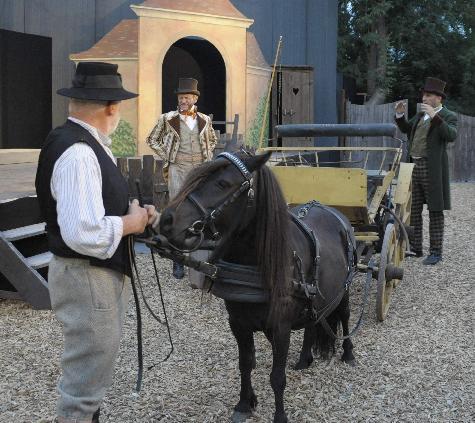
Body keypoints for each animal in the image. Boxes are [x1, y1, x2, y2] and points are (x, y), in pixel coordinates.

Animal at [160, 152, 356, 423]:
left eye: (223, 183)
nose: (166, 220)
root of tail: (329, 209)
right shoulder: (238, 323)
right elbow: (245, 363)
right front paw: (244, 403)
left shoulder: (281, 326)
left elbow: (277, 376)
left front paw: (280, 416)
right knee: (312, 321)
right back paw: (304, 359)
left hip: (344, 288)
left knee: (345, 317)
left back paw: (348, 354)